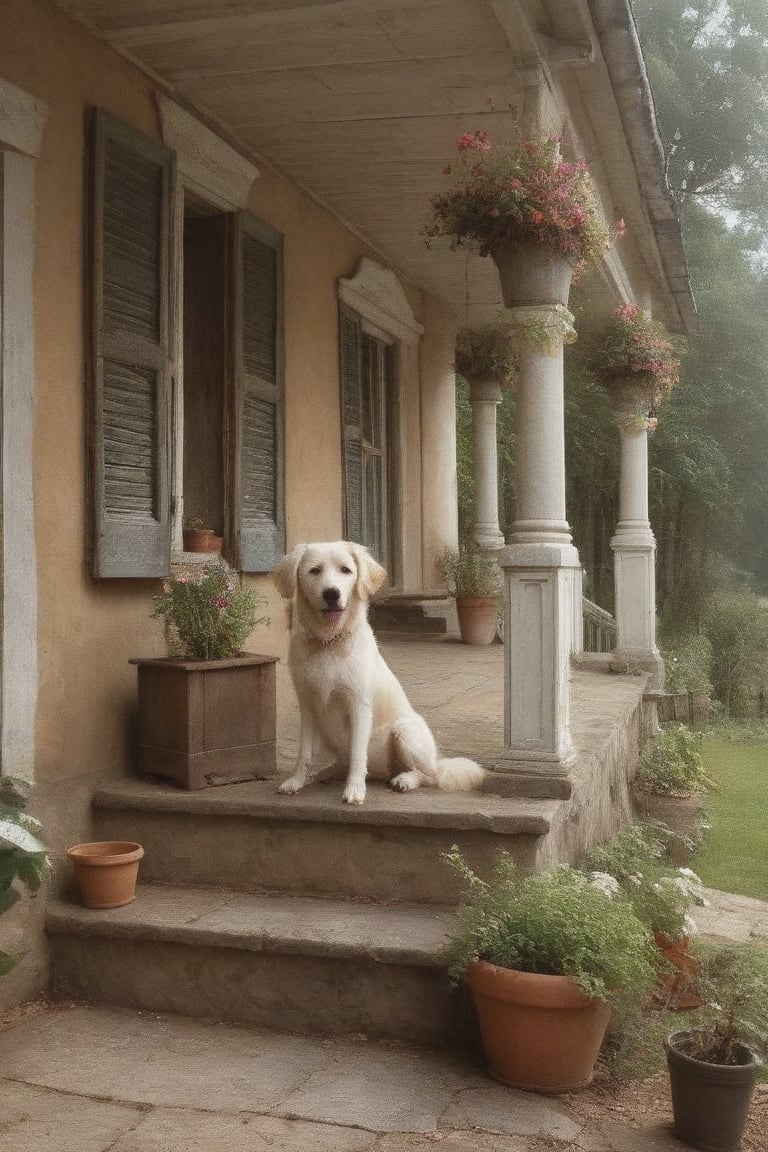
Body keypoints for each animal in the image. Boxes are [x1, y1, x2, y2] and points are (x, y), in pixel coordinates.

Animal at [271, 541, 485, 806]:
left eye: (345, 570)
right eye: (314, 571)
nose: (331, 594)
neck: (328, 641)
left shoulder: (358, 704)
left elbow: (357, 753)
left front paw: (354, 789)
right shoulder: (308, 704)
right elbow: (304, 753)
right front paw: (297, 781)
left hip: (405, 730)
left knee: (429, 775)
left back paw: (404, 780)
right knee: (343, 763)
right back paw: (325, 774)